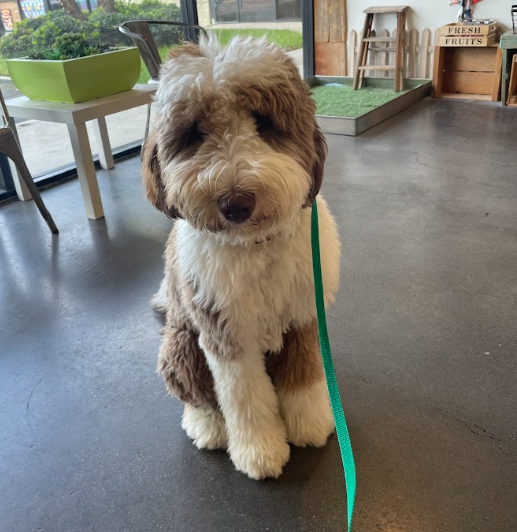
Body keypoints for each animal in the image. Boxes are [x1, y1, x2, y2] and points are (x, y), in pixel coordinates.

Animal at [141, 35, 340, 480]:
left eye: (263, 123)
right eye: (194, 133)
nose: (235, 203)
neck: (255, 245)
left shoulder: (304, 315)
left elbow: (304, 375)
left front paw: (310, 423)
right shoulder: (224, 332)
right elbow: (243, 397)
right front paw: (259, 451)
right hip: (181, 344)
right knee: (197, 396)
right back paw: (208, 428)